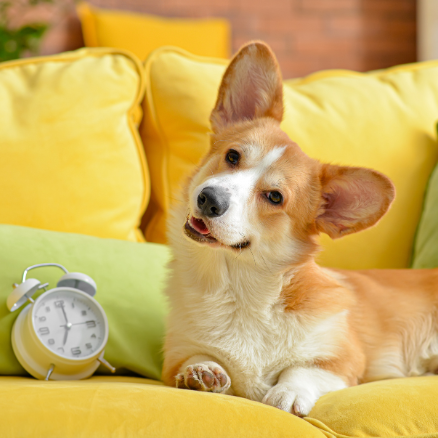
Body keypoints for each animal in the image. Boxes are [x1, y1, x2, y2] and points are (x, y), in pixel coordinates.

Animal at [161, 42, 438, 418]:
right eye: (232, 156)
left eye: (275, 197)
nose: (209, 199)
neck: (238, 289)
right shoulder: (175, 355)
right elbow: (197, 358)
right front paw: (203, 372)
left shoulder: (343, 358)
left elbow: (302, 370)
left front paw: (288, 393)